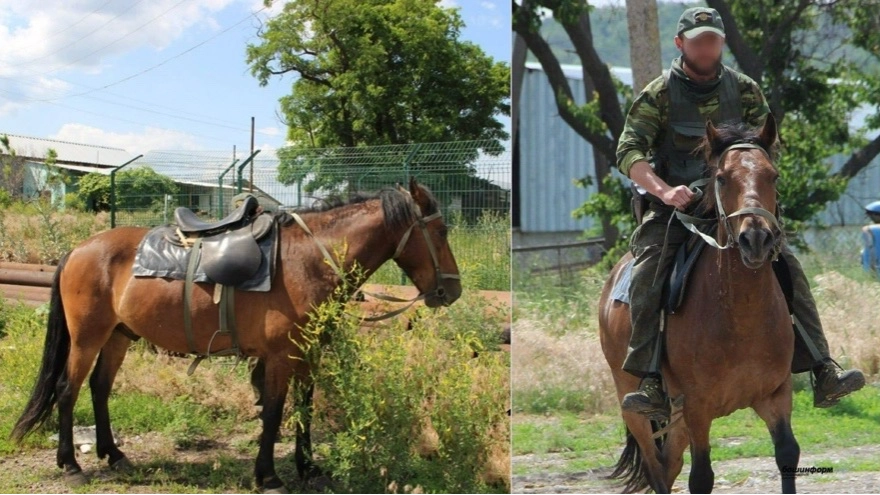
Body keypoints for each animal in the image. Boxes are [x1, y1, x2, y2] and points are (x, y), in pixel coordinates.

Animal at [12, 178, 460, 492]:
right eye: (440, 233)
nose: (452, 291)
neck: (308, 260)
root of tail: (78, 250)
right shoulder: (279, 356)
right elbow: (275, 412)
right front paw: (270, 477)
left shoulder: (308, 353)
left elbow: (305, 410)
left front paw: (309, 468)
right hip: (88, 337)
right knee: (68, 390)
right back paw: (71, 465)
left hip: (118, 336)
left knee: (100, 388)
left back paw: (115, 454)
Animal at [600, 114, 796, 494]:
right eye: (721, 178)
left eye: (773, 175)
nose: (756, 239)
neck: (741, 318)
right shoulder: (697, 408)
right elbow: (702, 477)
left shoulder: (776, 397)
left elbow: (787, 456)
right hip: (634, 407)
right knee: (656, 468)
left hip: (675, 420)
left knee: (668, 464)